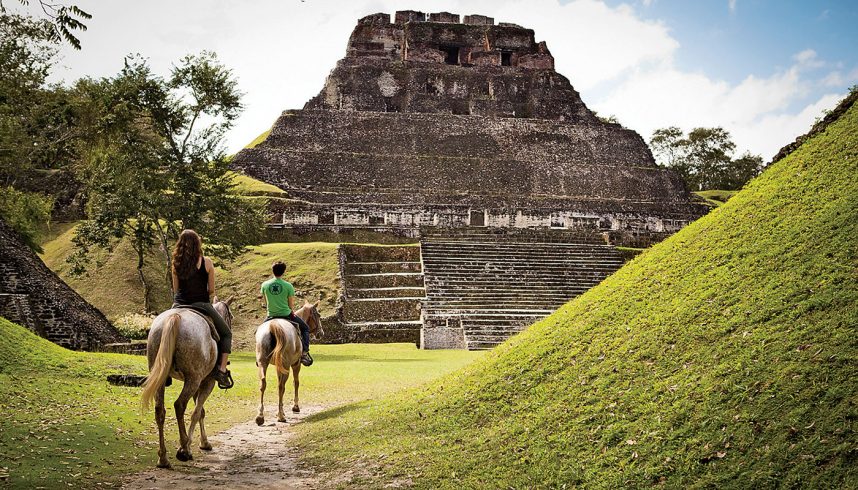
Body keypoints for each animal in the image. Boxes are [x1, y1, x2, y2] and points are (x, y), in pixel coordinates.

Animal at [140, 296, 234, 468]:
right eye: (231, 316)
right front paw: (192, 445)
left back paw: (163, 458)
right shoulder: (207, 382)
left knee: (160, 410)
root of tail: (175, 317)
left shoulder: (200, 383)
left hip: (162, 378)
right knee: (179, 405)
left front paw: (203, 442)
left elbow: (201, 411)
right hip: (193, 379)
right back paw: (184, 448)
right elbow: (197, 412)